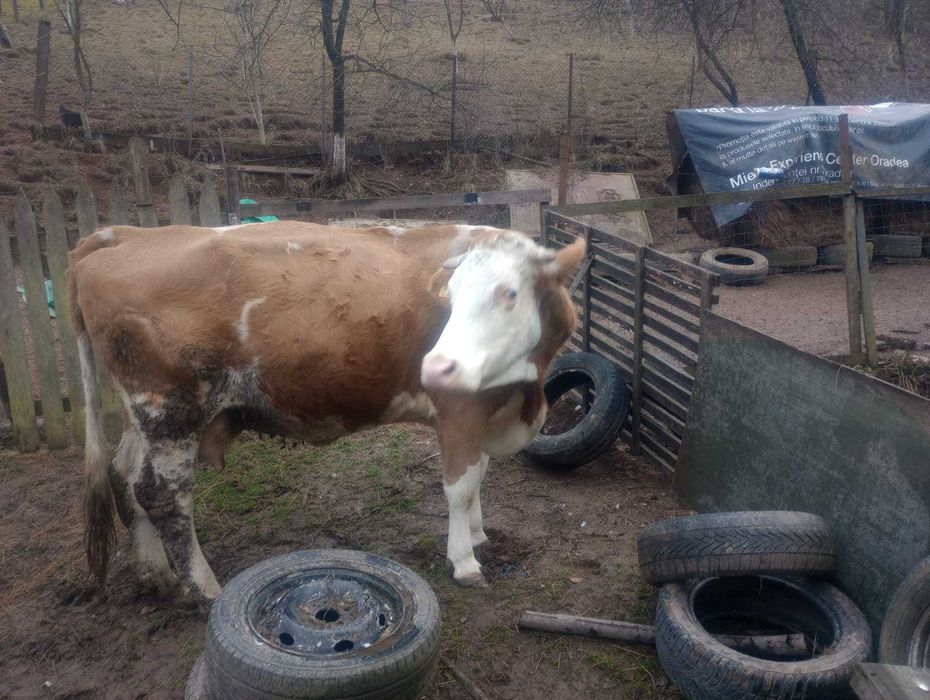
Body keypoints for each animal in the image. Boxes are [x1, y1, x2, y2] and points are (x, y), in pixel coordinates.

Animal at [68, 221, 585, 602]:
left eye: (509, 293)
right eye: (451, 298)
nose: (436, 366)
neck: (522, 393)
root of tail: (124, 235)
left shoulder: (487, 410)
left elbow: (479, 473)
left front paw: (478, 535)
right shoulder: (460, 407)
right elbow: (460, 485)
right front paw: (464, 560)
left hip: (143, 416)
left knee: (125, 476)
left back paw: (157, 576)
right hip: (170, 410)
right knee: (161, 495)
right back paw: (205, 587)